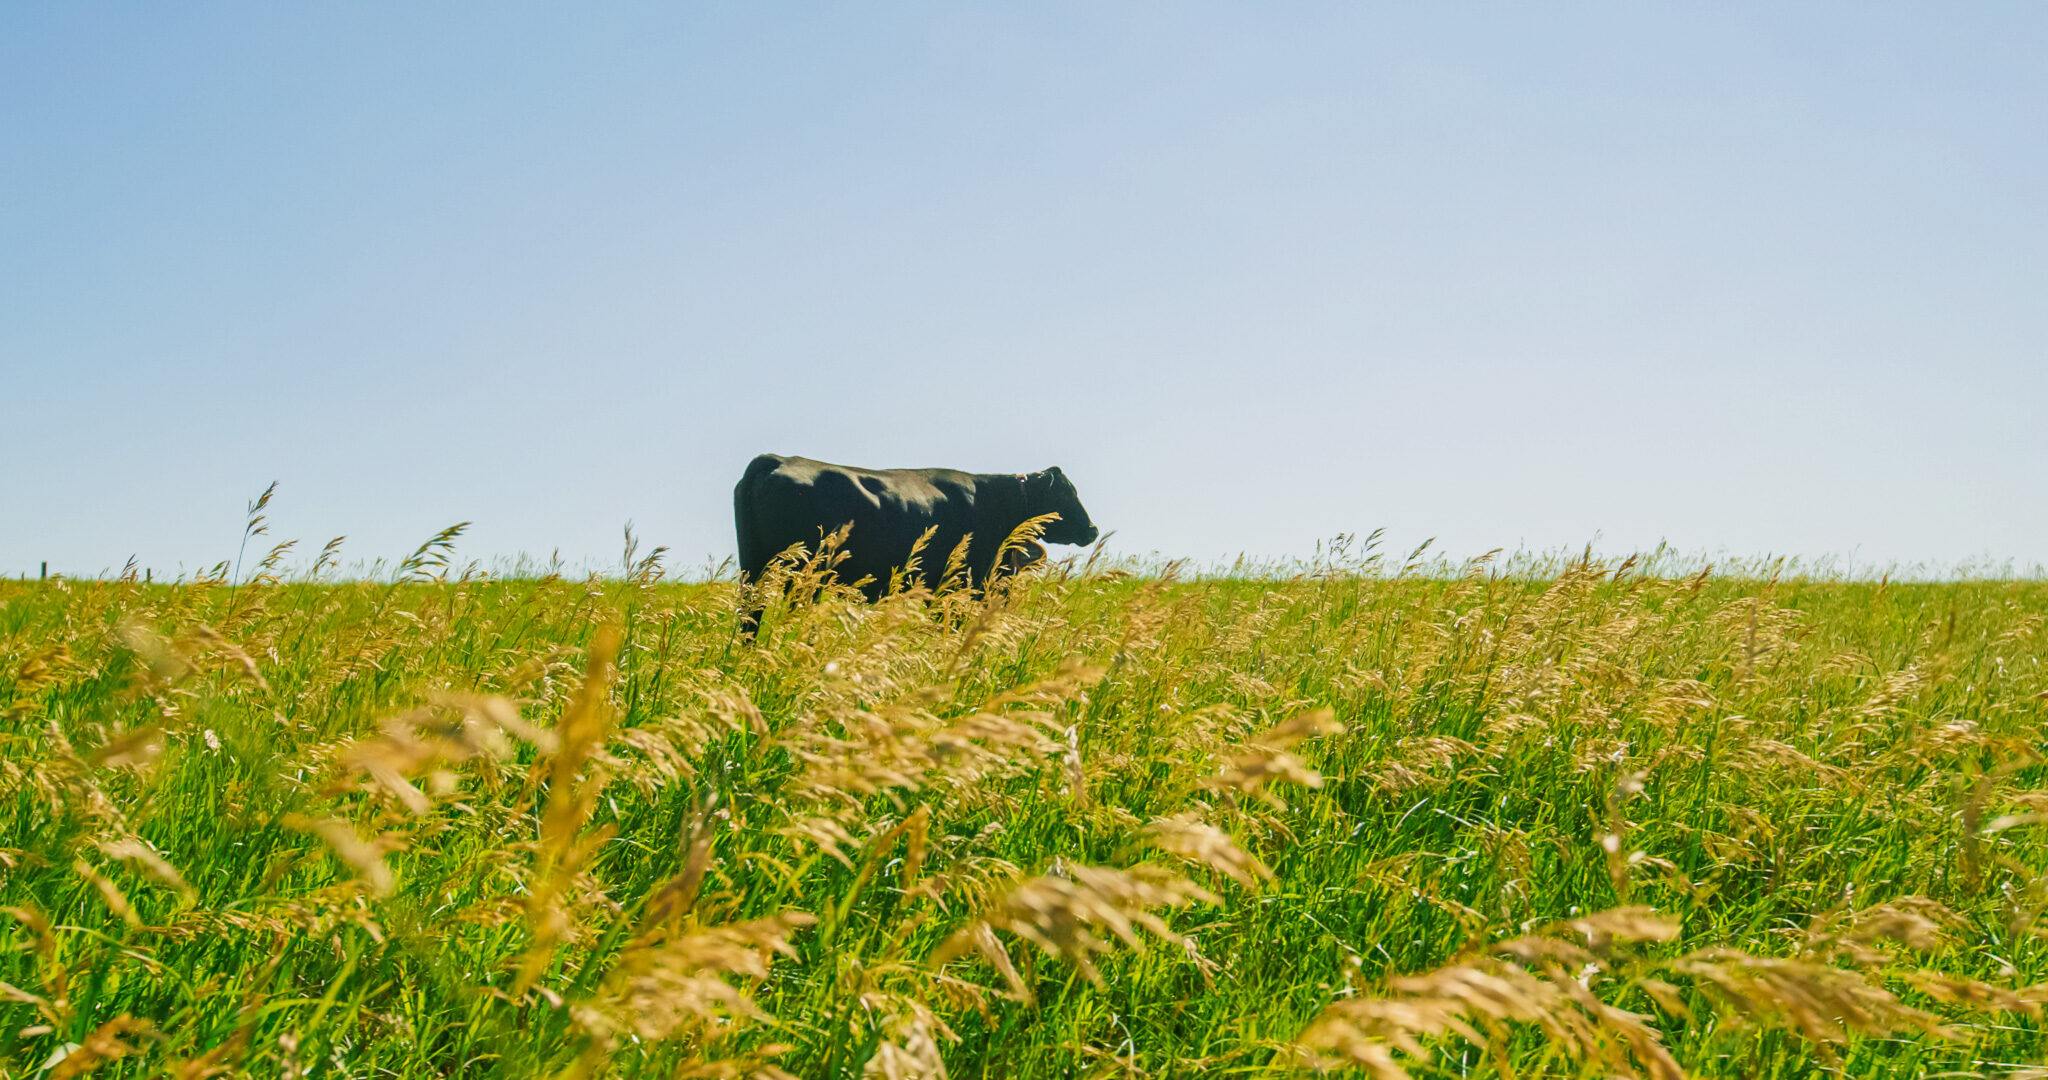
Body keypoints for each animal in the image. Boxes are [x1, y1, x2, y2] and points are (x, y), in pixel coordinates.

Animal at [733, 454, 1100, 633]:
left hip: (754, 569)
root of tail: (777, 458)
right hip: (801, 575)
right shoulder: (956, 588)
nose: (1093, 530)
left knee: (751, 618)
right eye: (1066, 493)